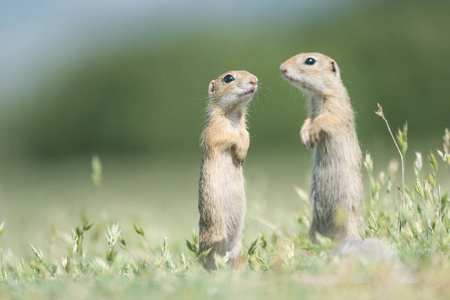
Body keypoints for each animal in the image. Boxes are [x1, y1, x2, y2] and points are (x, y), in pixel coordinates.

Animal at [197, 70, 256, 270]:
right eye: (228, 78)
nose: (255, 80)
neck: (234, 114)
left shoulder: (244, 127)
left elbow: (246, 135)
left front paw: (242, 154)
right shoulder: (216, 128)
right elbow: (228, 137)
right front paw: (239, 152)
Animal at [280, 52, 364, 243]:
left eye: (310, 60)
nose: (282, 68)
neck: (318, 94)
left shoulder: (335, 105)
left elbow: (325, 119)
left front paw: (312, 134)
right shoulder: (312, 108)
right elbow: (309, 120)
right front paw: (305, 137)